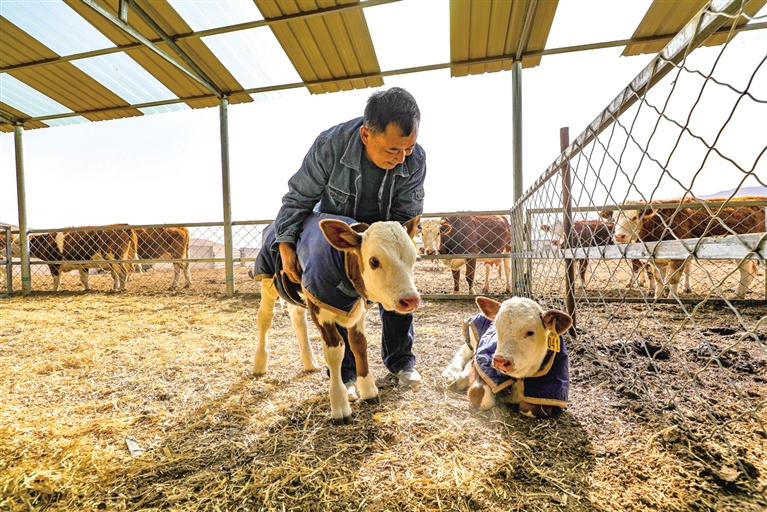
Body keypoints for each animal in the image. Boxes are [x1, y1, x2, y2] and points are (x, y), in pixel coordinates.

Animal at [254, 218, 424, 422]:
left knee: (297, 317)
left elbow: (359, 345)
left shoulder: (359, 309)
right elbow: (335, 352)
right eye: (374, 261)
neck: (343, 265)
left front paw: (369, 390)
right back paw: (259, 364)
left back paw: (309, 362)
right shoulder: (319, 308)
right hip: (267, 282)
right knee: (265, 317)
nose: (410, 300)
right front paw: (340, 405)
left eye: (413, 258)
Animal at [604, 197, 764, 300]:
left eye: (635, 217)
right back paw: (738, 295)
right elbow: (659, 278)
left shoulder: (678, 256)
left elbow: (673, 279)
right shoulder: (658, 259)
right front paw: (658, 296)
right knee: (749, 271)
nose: (619, 236)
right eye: (614, 219)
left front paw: (672, 298)